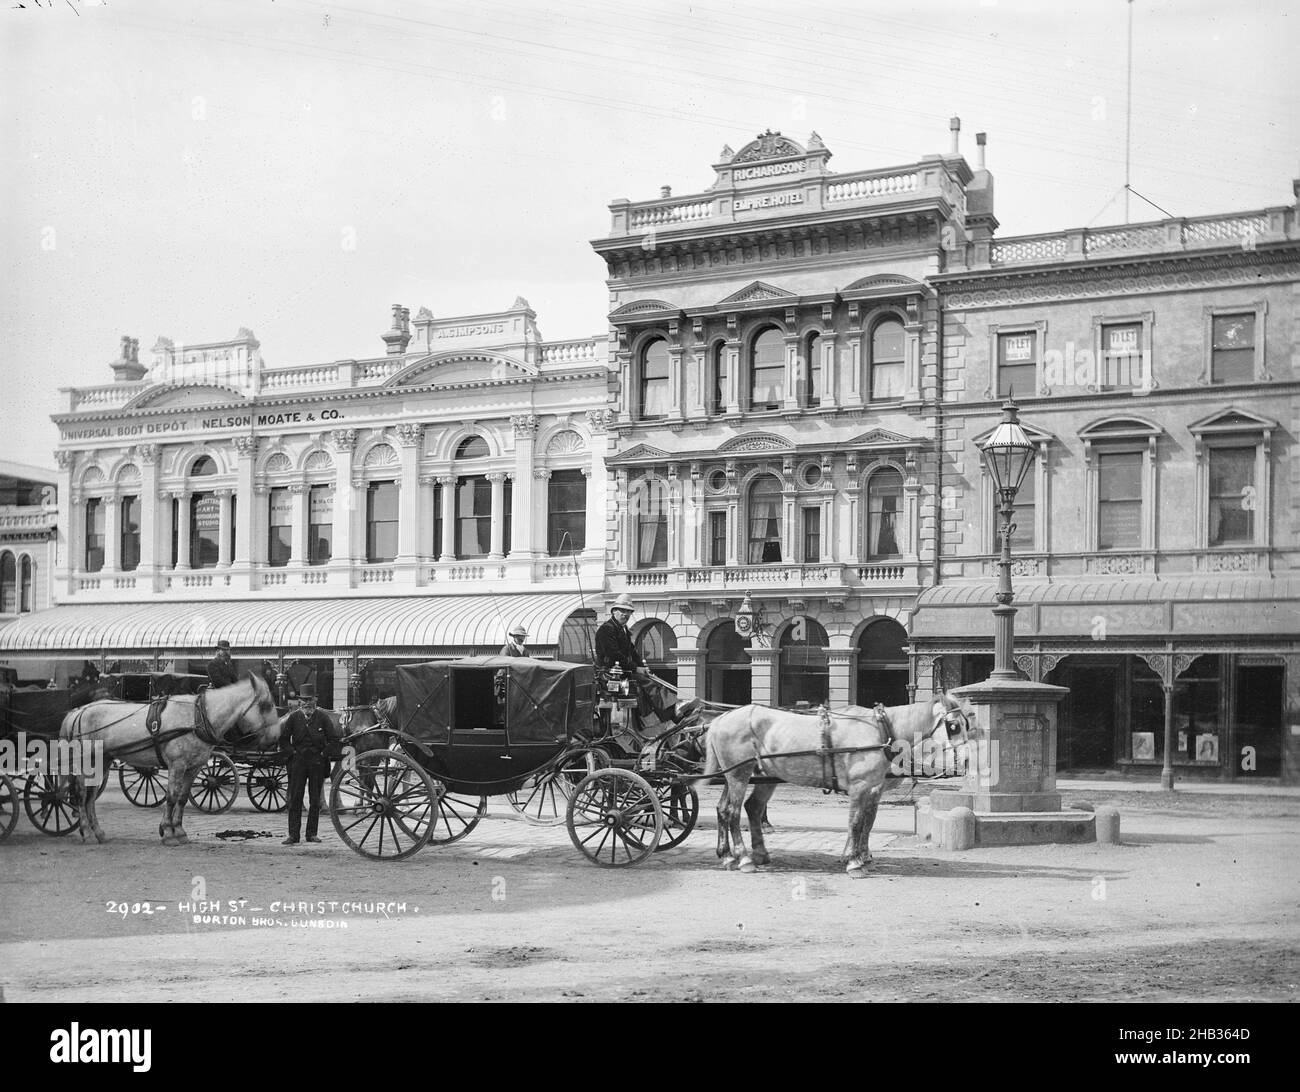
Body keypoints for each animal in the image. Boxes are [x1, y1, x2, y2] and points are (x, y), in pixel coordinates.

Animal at [62, 676, 280, 842]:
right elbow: (172, 796)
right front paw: (167, 831)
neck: (198, 716)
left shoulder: (194, 767)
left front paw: (179, 831)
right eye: (265, 705)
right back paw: (87, 831)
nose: (275, 738)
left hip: (102, 761)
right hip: (84, 762)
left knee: (91, 795)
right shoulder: (177, 765)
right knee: (82, 794)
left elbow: (182, 798)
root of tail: (79, 711)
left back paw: (97, 831)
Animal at [702, 702, 977, 878]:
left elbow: (866, 822)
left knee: (740, 808)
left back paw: (736, 855)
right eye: (953, 726)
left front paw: (860, 856)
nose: (967, 760)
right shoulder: (862, 787)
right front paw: (855, 861)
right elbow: (857, 823)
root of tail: (719, 719)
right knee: (733, 812)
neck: (882, 730)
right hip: (738, 774)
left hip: (749, 776)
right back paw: (743, 858)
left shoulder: (872, 789)